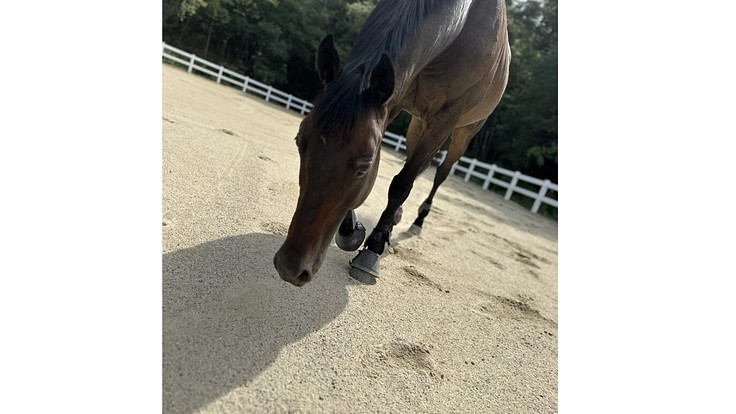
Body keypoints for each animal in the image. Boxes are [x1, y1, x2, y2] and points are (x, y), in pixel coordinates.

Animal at [273, 0, 511, 286]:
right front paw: (352, 232)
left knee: (439, 172)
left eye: (363, 166)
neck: (463, 29)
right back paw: (394, 217)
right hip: (417, 124)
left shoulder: (445, 119)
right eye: (300, 142)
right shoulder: (392, 99)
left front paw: (373, 249)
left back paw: (418, 218)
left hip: (463, 132)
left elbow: (401, 184)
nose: (290, 267)